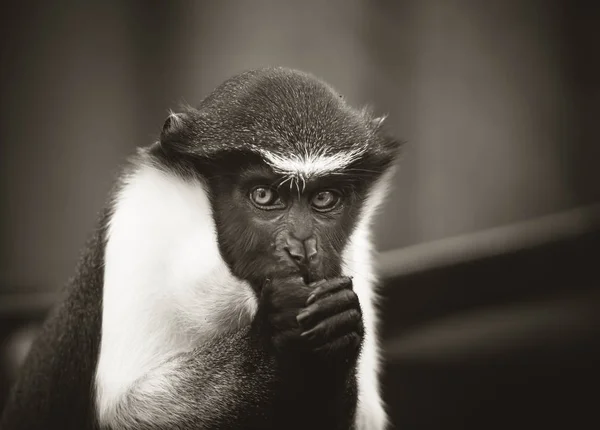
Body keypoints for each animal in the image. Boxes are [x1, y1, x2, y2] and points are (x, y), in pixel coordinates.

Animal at [1, 67, 404, 430]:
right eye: (264, 195)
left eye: (323, 198)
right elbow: (126, 409)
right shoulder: (142, 217)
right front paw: (279, 337)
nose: (301, 248)